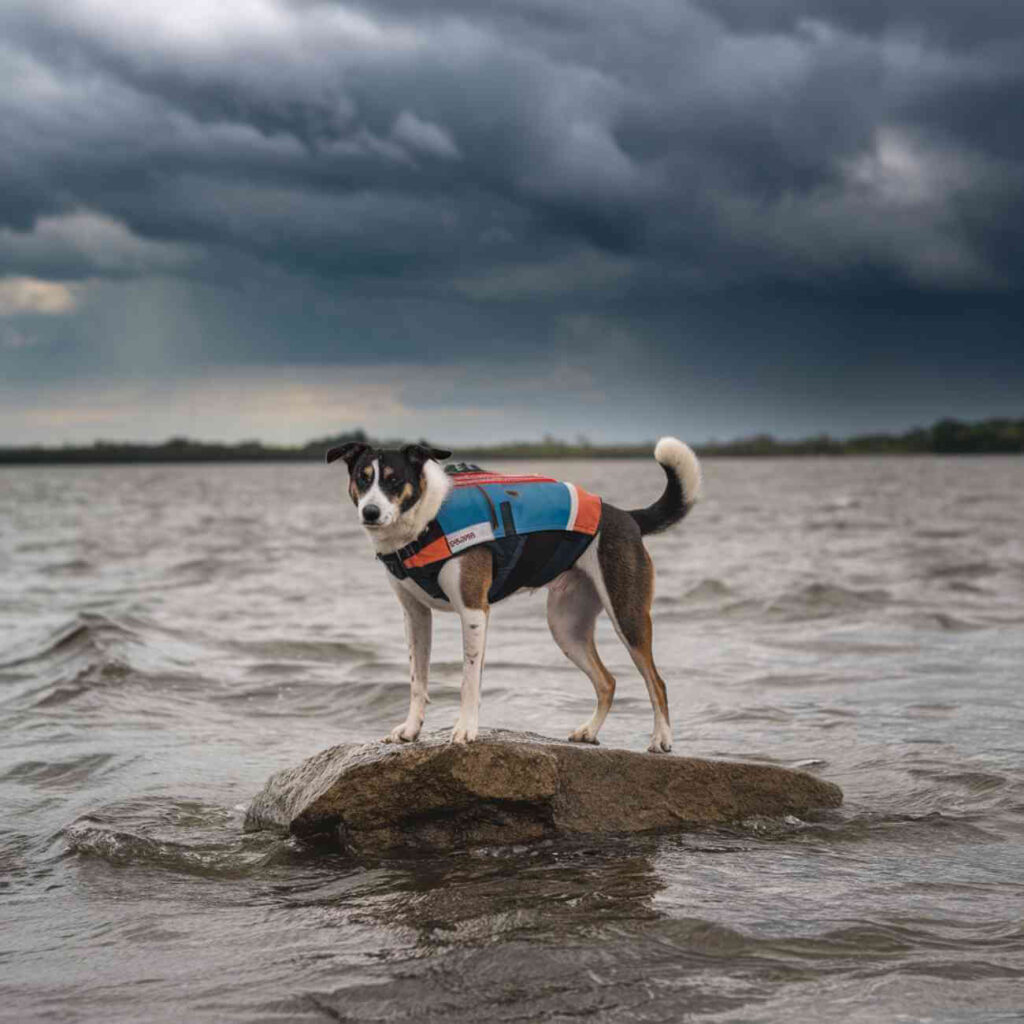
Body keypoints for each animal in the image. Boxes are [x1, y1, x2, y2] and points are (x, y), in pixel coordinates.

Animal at [323, 438, 700, 753]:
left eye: (393, 479)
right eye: (363, 478)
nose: (370, 512)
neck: (425, 522)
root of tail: (626, 516)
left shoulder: (474, 611)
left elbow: (469, 680)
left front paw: (465, 729)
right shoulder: (414, 615)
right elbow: (418, 680)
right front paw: (411, 729)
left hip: (627, 614)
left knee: (657, 682)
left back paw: (661, 739)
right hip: (566, 626)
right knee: (607, 682)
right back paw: (590, 731)